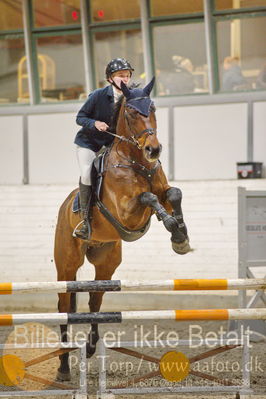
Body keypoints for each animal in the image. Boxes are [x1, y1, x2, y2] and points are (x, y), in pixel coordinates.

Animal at [54, 78, 191, 382]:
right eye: (130, 112)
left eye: (152, 108)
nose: (154, 150)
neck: (136, 160)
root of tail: (64, 206)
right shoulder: (127, 213)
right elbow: (148, 198)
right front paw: (172, 225)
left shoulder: (163, 190)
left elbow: (173, 193)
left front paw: (181, 236)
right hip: (66, 265)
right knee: (63, 307)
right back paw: (63, 369)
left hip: (106, 262)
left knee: (95, 301)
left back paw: (91, 347)